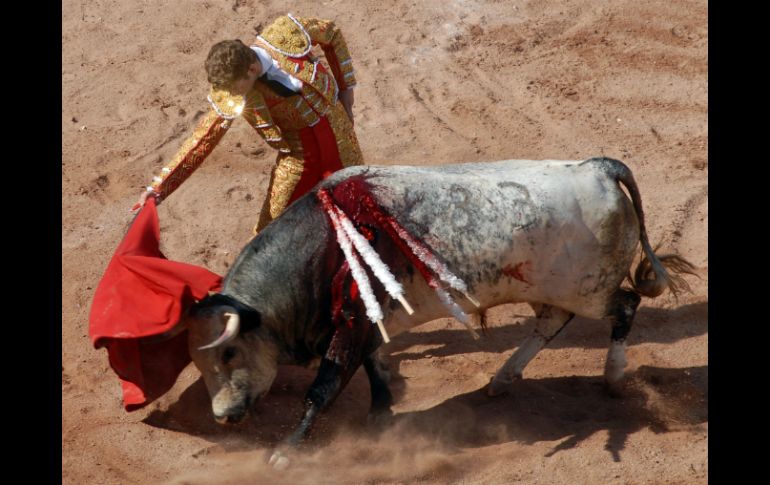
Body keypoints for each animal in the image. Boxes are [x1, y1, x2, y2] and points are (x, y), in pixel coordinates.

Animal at [182, 156, 696, 466]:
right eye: (199, 362)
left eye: (229, 353)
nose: (223, 416)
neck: (324, 247)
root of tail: (599, 168)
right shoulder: (369, 323)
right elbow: (374, 365)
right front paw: (381, 414)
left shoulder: (349, 324)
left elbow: (323, 388)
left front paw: (286, 453)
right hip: (550, 288)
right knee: (552, 322)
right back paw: (501, 380)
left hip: (589, 289)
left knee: (625, 305)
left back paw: (612, 378)